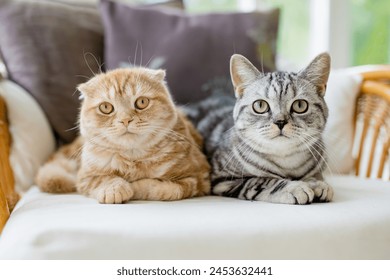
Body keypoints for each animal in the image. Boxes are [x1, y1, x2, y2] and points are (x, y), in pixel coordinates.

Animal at [37, 68, 210, 203]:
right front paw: (115, 190)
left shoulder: (197, 178)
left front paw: (134, 187)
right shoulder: (85, 177)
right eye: (106, 107)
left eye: (141, 102)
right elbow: (104, 179)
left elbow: (163, 188)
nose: (125, 119)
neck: (132, 159)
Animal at [186, 52, 336, 205]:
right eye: (260, 105)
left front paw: (316, 183)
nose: (280, 121)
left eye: (300, 105)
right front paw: (294, 187)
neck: (287, 163)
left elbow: (316, 175)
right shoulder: (223, 179)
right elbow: (262, 181)